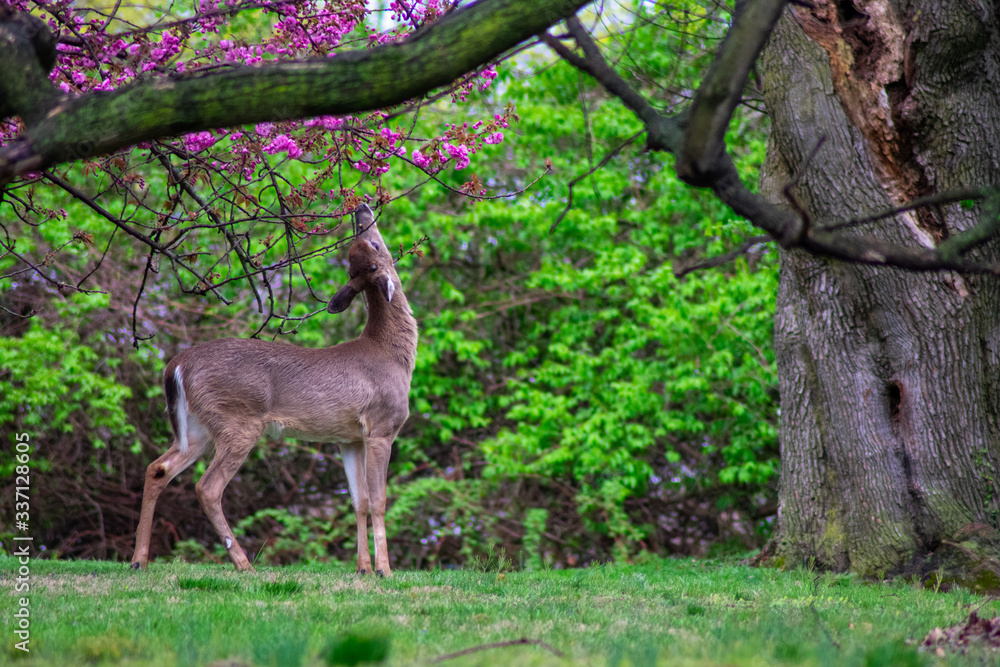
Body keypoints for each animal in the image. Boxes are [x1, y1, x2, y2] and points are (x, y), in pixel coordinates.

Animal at [131, 204, 417, 576]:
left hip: (197, 427)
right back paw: (243, 565)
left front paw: (362, 569)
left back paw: (138, 560)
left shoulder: (349, 438)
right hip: (237, 422)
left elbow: (360, 501)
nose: (361, 208)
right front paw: (384, 570)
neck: (392, 355)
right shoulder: (381, 426)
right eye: (375, 244)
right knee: (207, 487)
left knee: (158, 468)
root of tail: (175, 365)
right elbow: (380, 500)